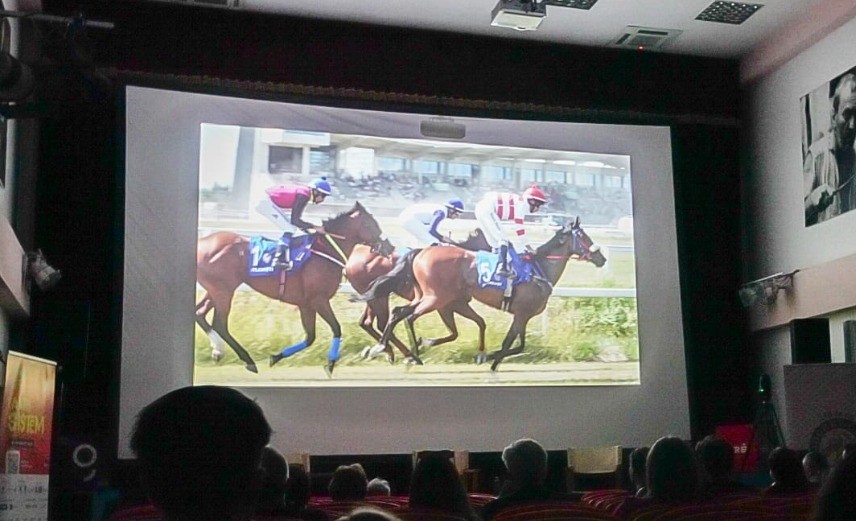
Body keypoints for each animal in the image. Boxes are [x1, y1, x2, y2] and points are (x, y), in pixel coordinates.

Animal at [195, 201, 390, 375]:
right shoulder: (319, 300)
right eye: (369, 224)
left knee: (200, 312)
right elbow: (336, 328)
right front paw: (331, 363)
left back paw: (218, 351)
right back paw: (247, 360)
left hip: (219, 289)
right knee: (219, 324)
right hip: (223, 291)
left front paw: (275, 357)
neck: (325, 251)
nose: (388, 246)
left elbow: (310, 337)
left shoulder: (306, 305)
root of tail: (202, 242)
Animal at [362, 217, 606, 371]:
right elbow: (511, 344)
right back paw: (410, 353)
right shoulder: (521, 314)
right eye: (584, 236)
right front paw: (491, 362)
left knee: (398, 312)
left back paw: (387, 348)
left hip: (427, 296)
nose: (601, 258)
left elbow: (518, 345)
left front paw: (485, 355)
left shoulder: (522, 316)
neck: (540, 269)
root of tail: (422, 251)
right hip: (435, 298)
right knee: (409, 317)